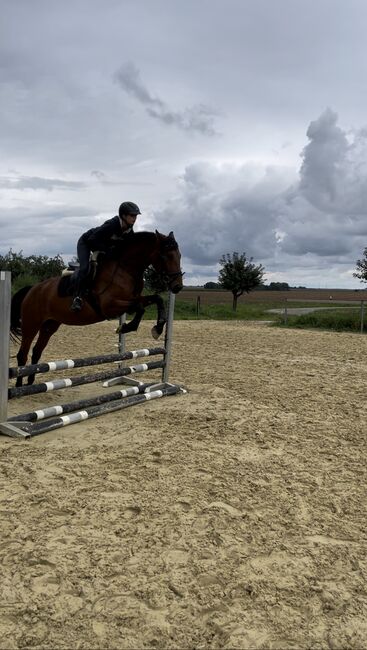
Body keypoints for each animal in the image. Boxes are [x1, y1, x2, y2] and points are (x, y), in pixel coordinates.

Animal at [10, 230, 183, 384]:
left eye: (179, 256)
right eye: (165, 256)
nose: (177, 287)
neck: (125, 268)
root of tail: (33, 289)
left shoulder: (133, 299)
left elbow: (156, 299)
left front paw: (158, 328)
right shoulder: (109, 306)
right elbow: (140, 308)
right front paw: (126, 327)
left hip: (49, 325)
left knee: (36, 351)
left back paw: (31, 382)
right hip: (31, 324)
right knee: (22, 354)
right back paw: (19, 387)